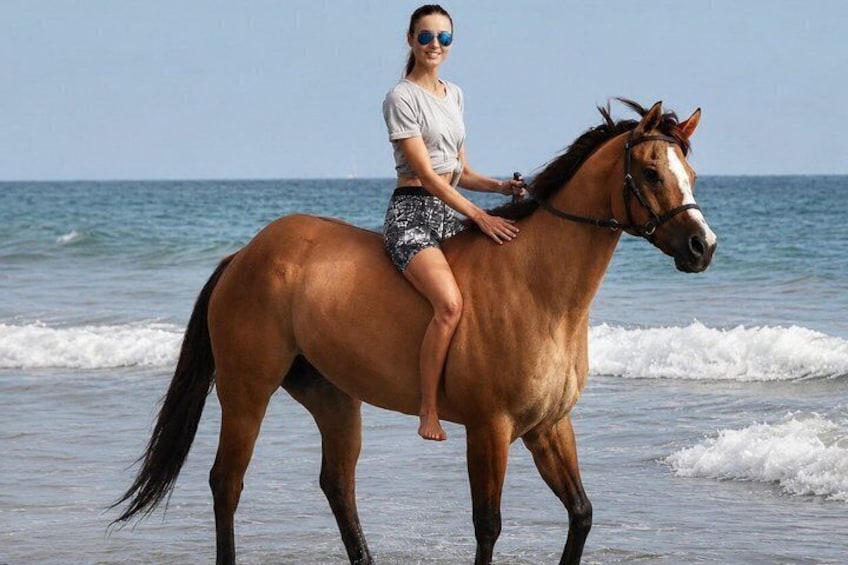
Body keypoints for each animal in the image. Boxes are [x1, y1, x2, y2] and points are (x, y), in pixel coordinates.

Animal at [111, 99, 716, 564]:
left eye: (691, 176)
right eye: (652, 173)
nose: (702, 247)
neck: (537, 286)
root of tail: (245, 254)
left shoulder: (549, 426)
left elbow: (582, 514)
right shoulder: (489, 428)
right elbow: (488, 524)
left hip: (333, 397)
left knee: (337, 485)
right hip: (246, 391)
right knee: (227, 482)